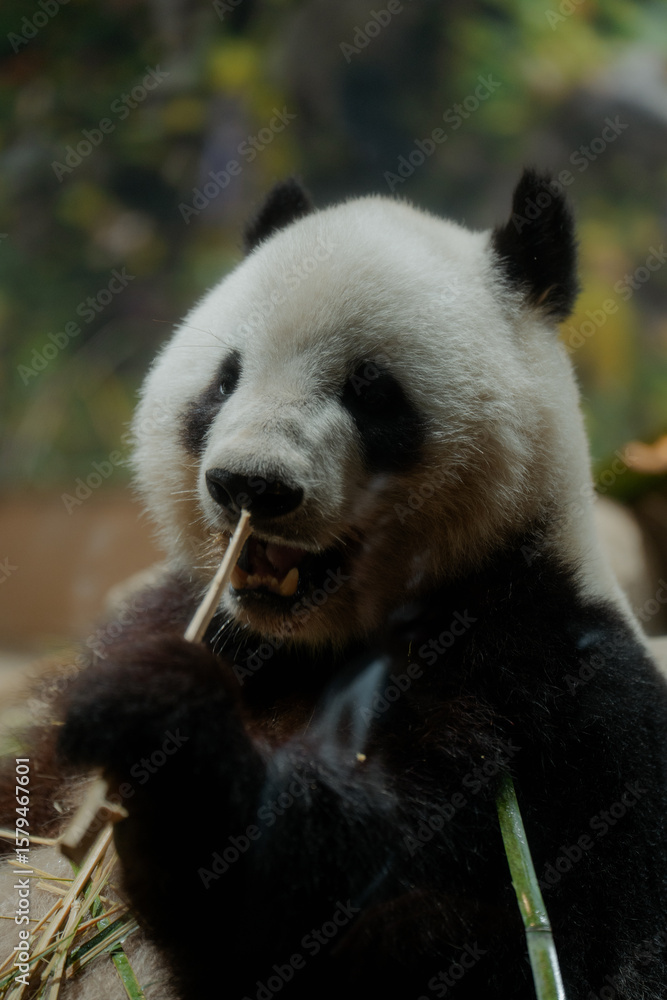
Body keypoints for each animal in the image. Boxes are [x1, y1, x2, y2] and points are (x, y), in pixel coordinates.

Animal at [5, 170, 667, 1000]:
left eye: (370, 390)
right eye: (225, 378)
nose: (250, 484)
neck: (304, 645)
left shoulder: (553, 696)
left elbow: (398, 932)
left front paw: (163, 725)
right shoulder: (184, 611)